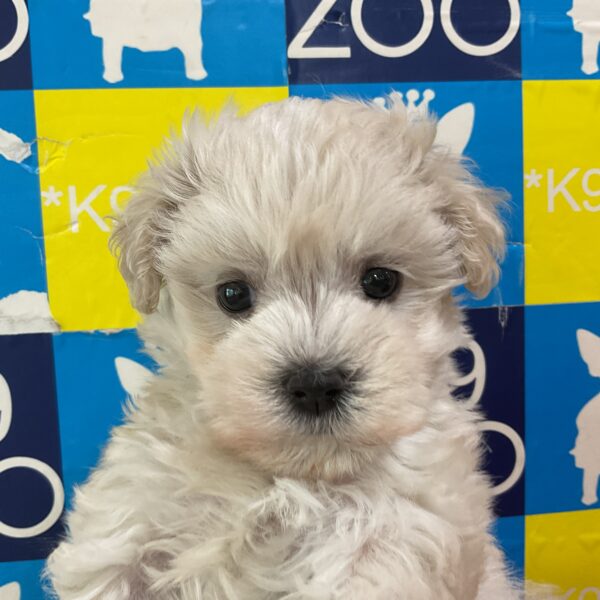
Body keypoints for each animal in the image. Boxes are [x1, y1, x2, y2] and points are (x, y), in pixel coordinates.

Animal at [47, 96, 537, 599]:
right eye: (232, 294)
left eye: (381, 281)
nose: (315, 384)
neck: (291, 477)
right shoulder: (133, 511)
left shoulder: (394, 532)